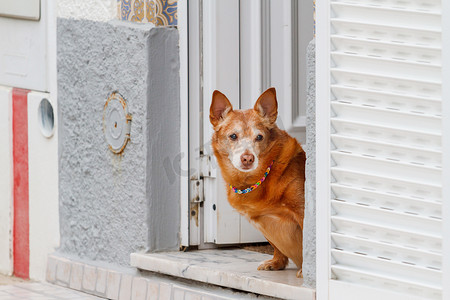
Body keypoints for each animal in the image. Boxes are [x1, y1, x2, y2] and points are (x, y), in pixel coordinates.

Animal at [211, 86, 306, 276]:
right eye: (233, 136)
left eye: (260, 137)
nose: (248, 158)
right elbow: (276, 245)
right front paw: (277, 262)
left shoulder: (302, 212)